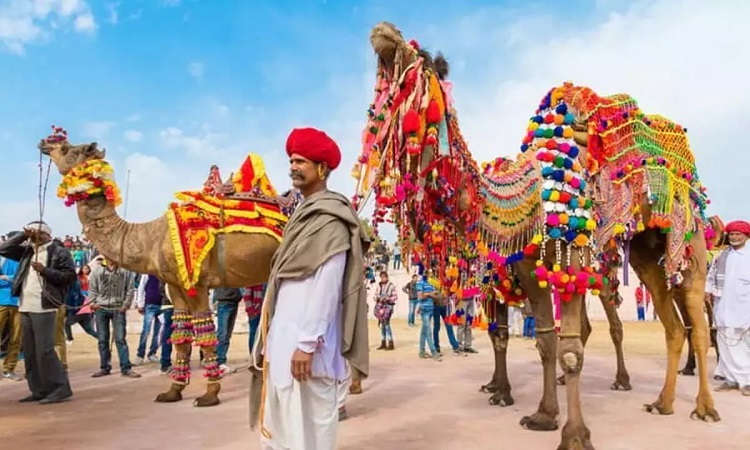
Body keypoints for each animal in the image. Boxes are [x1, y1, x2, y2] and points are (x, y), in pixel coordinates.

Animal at [37, 126, 296, 408]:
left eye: (68, 150)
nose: (45, 142)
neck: (151, 237)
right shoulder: (174, 285)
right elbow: (181, 336)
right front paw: (173, 391)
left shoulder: (197, 284)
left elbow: (205, 333)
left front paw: (209, 395)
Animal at [358, 21, 724, 450]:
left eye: (424, 60)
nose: (383, 32)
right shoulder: (527, 268)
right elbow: (545, 341)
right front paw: (543, 415)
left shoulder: (572, 254)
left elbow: (569, 349)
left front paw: (574, 434)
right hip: (645, 252)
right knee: (672, 325)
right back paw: (662, 403)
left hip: (685, 236)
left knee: (694, 323)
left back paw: (699, 406)